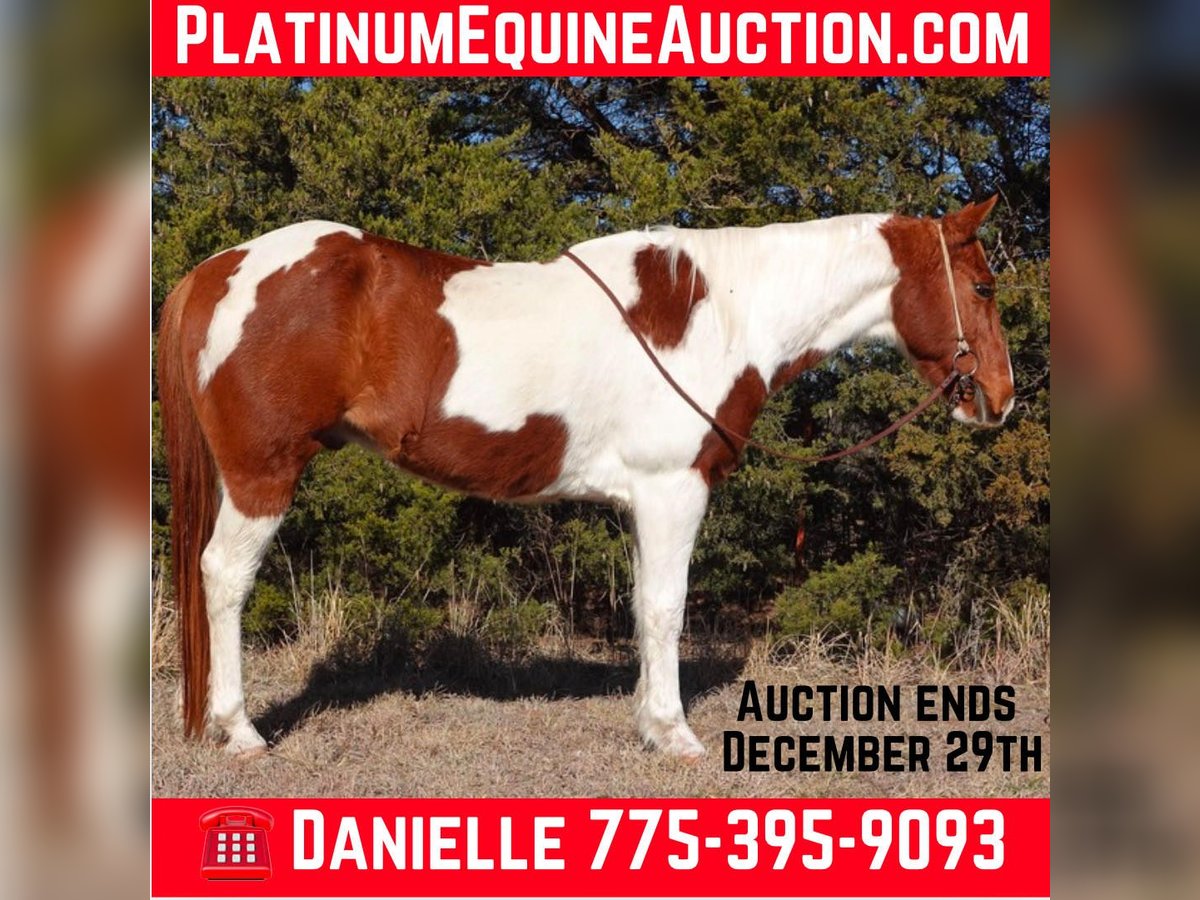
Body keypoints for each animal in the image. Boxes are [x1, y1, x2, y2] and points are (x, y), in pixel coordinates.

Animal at [157, 197, 1014, 758]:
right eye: (983, 287)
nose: (1001, 399)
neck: (723, 311)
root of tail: (218, 269)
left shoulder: (642, 500)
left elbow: (640, 607)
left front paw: (647, 721)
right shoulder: (675, 488)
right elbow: (667, 609)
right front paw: (674, 734)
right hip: (261, 474)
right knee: (223, 576)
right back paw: (240, 731)